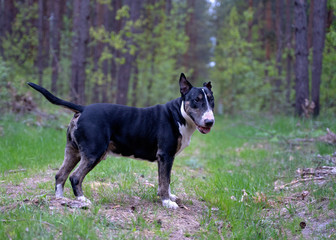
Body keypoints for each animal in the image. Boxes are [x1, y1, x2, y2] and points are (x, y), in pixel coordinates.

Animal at [26, 72, 215, 208]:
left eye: (212, 100)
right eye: (196, 100)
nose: (210, 122)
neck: (179, 114)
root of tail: (84, 108)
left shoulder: (168, 157)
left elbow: (166, 180)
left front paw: (170, 197)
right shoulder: (165, 155)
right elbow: (164, 180)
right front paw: (167, 202)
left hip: (73, 152)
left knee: (60, 175)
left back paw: (60, 200)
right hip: (94, 152)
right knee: (75, 177)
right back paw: (83, 200)